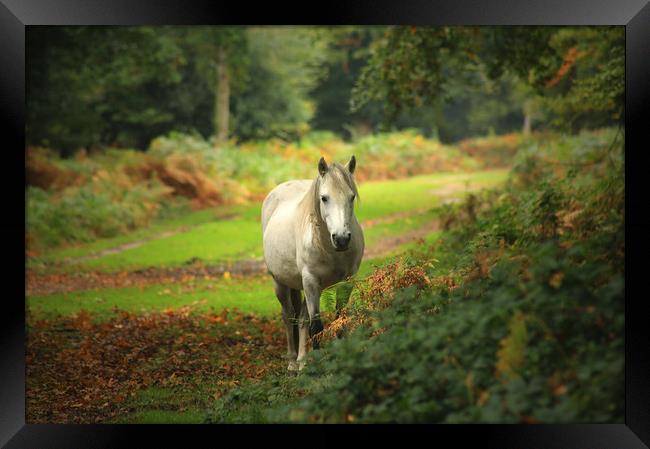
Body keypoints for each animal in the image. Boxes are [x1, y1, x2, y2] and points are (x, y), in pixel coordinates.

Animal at [260, 156, 362, 370]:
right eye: (324, 198)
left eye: (351, 197)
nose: (341, 239)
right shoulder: (311, 282)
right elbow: (316, 326)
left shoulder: (346, 282)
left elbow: (339, 319)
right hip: (281, 283)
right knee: (288, 316)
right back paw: (292, 360)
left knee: (301, 319)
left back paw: (302, 360)